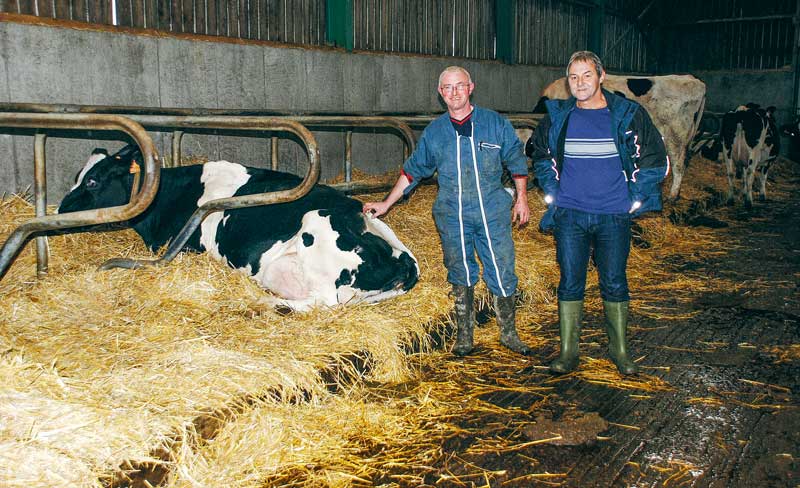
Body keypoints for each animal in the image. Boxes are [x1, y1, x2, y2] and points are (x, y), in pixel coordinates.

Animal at [57, 145, 418, 312]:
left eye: (92, 180)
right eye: (77, 174)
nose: (60, 210)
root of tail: (406, 261)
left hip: (316, 227)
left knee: (320, 302)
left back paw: (267, 304)